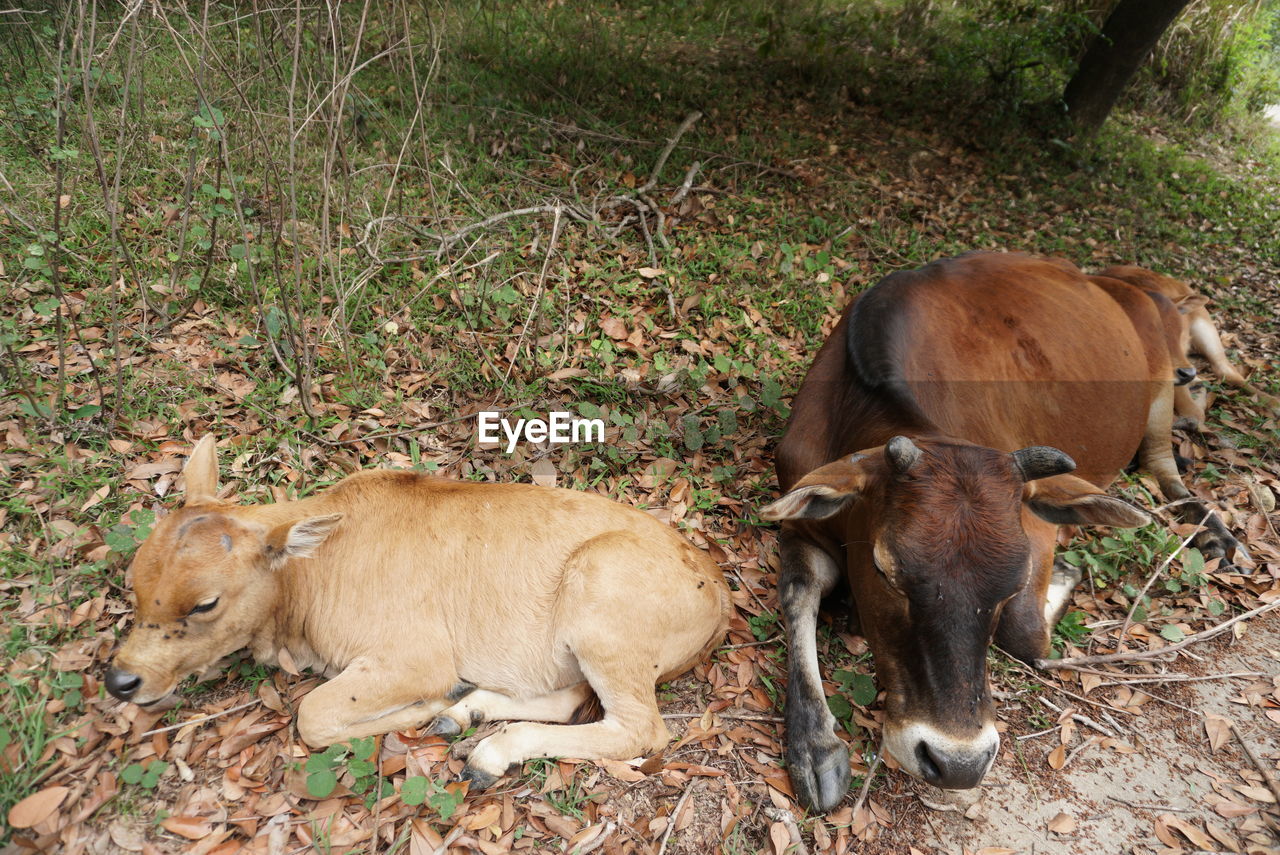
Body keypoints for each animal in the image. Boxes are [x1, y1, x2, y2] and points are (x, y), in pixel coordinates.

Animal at [107, 440, 732, 788]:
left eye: (205, 602)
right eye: (135, 582)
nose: (120, 680)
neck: (307, 581)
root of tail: (720, 588)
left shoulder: (414, 658)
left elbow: (312, 716)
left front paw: (432, 705)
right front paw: (450, 707)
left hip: (600, 612)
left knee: (639, 728)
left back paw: (487, 750)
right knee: (571, 700)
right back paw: (468, 714)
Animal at [757, 252, 1239, 808]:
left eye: (1013, 582)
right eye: (884, 570)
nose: (957, 763)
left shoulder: (1035, 524)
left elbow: (1023, 633)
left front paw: (1065, 574)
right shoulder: (801, 520)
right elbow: (797, 593)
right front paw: (814, 744)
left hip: (1161, 382)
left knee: (1164, 467)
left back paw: (1212, 529)